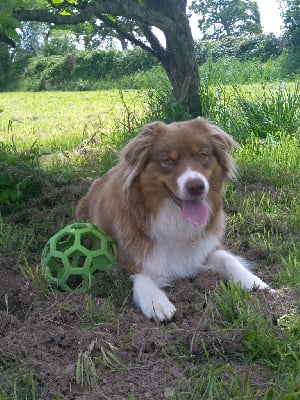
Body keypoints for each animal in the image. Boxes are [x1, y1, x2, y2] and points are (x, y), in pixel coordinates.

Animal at [75, 117, 270, 320]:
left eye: (202, 155)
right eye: (168, 160)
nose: (196, 187)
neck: (175, 219)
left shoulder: (207, 244)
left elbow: (227, 258)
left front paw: (253, 281)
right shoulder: (122, 257)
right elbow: (140, 275)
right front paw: (156, 301)